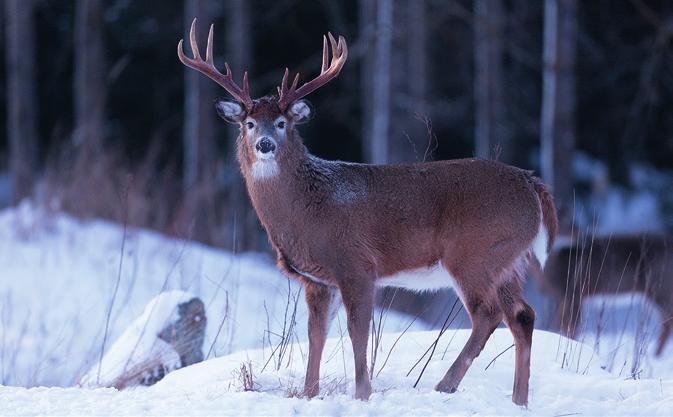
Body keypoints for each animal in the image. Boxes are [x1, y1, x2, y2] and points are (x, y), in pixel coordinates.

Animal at [177, 18, 556, 404]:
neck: (309, 209)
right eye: (249, 124)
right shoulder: (318, 280)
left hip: (474, 254)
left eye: (282, 123)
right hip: (509, 259)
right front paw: (310, 393)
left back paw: (445, 385)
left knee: (487, 314)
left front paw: (362, 393)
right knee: (522, 316)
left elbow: (357, 331)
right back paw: (518, 400)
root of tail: (532, 185)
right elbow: (316, 335)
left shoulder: (357, 264)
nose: (265, 145)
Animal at [532, 234, 668, 354]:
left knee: (666, 321)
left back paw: (656, 354)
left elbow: (570, 326)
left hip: (660, 287)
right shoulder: (564, 297)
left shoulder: (572, 293)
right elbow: (563, 323)